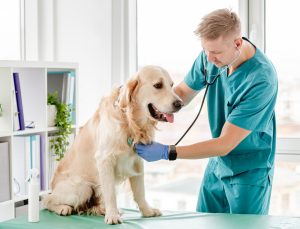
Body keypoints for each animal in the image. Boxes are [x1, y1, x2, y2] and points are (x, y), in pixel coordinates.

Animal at [42, 65, 183, 225]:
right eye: (158, 85)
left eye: (171, 85)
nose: (180, 104)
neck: (129, 120)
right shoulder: (105, 159)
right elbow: (110, 193)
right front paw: (112, 216)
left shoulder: (137, 160)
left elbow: (140, 191)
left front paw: (147, 211)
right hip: (82, 187)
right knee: (47, 200)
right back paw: (63, 208)